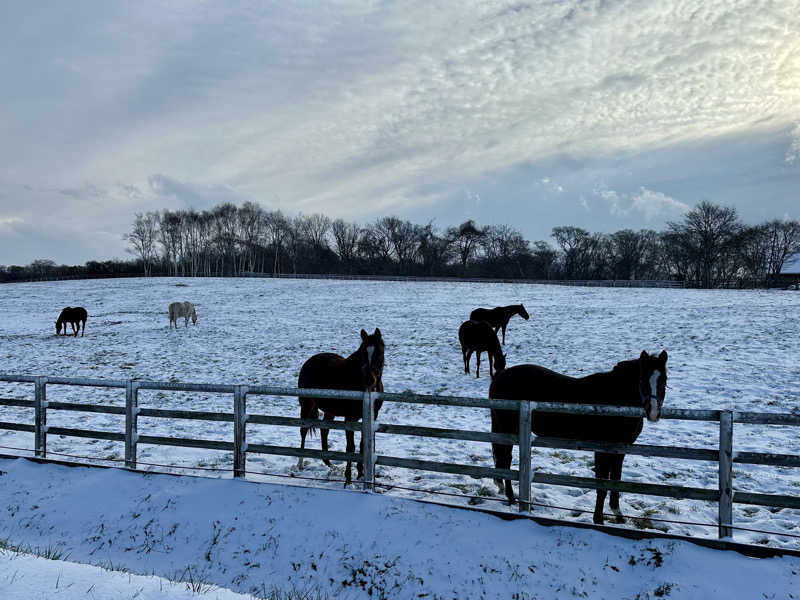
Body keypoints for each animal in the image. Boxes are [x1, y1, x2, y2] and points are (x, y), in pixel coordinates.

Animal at [300, 326, 388, 486]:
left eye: (379, 352)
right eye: (363, 353)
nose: (369, 379)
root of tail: (309, 361)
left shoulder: (370, 417)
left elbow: (362, 445)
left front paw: (360, 473)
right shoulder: (350, 418)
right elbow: (350, 447)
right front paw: (348, 479)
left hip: (329, 410)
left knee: (324, 430)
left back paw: (329, 462)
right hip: (307, 404)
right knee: (303, 431)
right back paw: (300, 464)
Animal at [488, 352, 668, 524]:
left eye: (664, 379)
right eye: (642, 379)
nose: (653, 412)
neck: (615, 401)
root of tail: (500, 375)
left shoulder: (620, 449)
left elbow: (616, 481)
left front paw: (618, 515)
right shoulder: (602, 449)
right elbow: (602, 484)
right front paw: (598, 519)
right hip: (508, 430)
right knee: (505, 460)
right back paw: (511, 498)